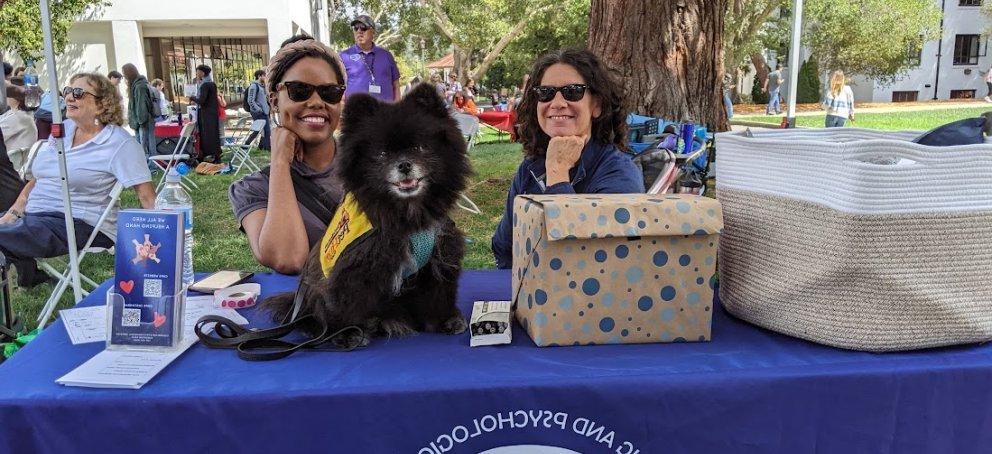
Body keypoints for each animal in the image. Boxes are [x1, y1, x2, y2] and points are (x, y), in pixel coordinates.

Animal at [264, 83, 472, 346]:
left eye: (419, 147)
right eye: (382, 154)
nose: (404, 164)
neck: (405, 215)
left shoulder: (439, 254)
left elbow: (439, 294)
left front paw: (444, 320)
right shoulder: (352, 268)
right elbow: (343, 303)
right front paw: (346, 332)